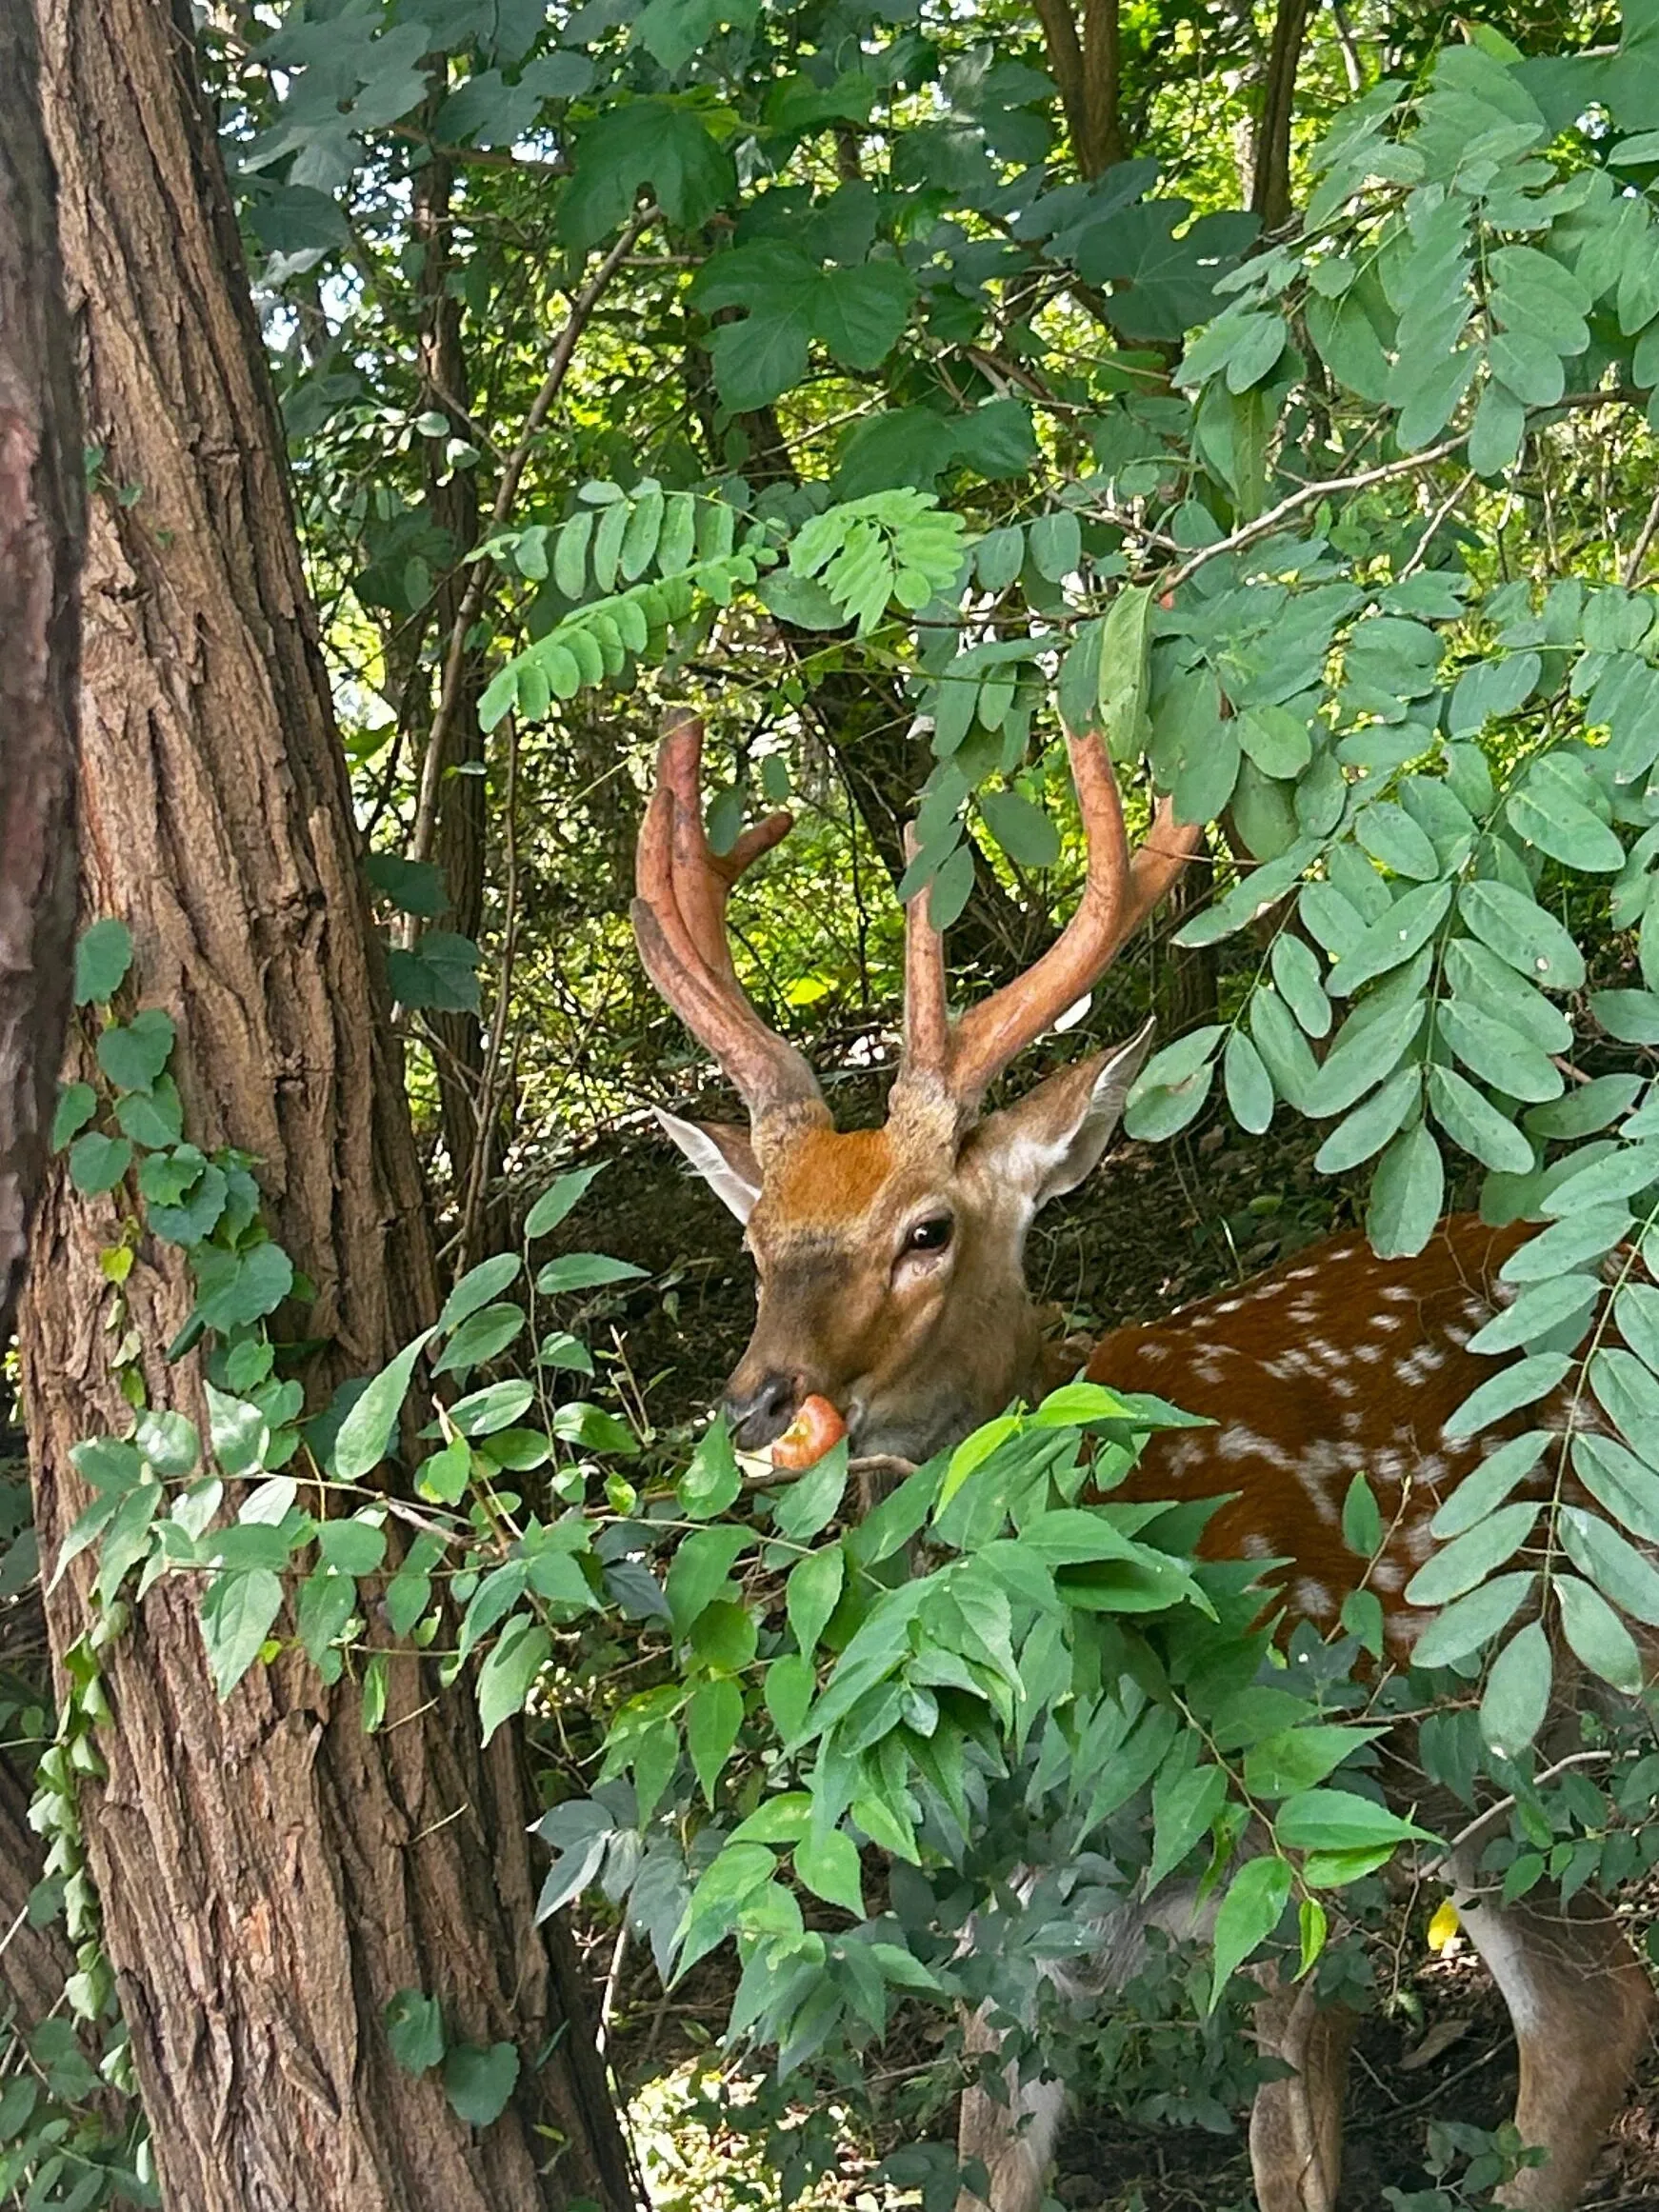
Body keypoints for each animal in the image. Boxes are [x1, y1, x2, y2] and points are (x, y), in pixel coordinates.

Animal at [632, 706, 1655, 2212]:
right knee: (1588, 2013)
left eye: (927, 1228)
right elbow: (990, 2163)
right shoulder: (1010, 1932)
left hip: (1512, 1701)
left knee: (1593, 2006)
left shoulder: (1304, 1831)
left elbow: (1290, 2158)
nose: (759, 1401)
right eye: (756, 1243)